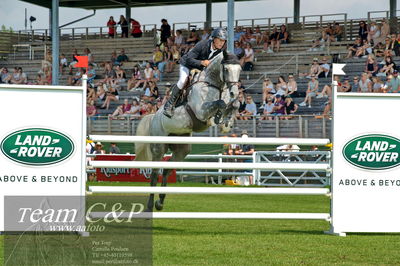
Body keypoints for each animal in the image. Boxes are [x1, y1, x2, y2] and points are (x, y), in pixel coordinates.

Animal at [135, 51, 241, 212]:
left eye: (240, 69)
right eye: (226, 69)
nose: (234, 92)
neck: (214, 84)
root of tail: (153, 116)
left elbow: (234, 104)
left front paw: (227, 123)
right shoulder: (201, 112)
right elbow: (220, 103)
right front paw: (220, 119)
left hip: (181, 148)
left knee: (166, 170)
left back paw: (160, 202)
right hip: (159, 146)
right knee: (154, 173)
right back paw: (149, 206)